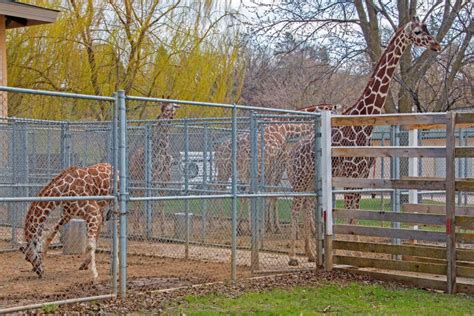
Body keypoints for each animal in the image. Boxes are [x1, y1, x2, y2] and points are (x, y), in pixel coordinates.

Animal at [130, 102, 180, 233]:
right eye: (166, 109)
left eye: (173, 108)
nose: (171, 117)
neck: (162, 150)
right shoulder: (153, 178)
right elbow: (150, 201)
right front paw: (149, 229)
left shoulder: (165, 180)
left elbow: (161, 202)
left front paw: (163, 230)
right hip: (137, 179)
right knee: (137, 198)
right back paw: (136, 229)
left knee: (140, 198)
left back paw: (139, 227)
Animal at [286, 16, 442, 266]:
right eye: (418, 31)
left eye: (427, 29)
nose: (437, 45)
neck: (365, 125)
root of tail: (292, 152)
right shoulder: (350, 175)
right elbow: (349, 216)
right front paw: (350, 255)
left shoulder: (360, 176)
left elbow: (355, 216)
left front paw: (357, 254)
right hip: (299, 179)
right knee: (295, 207)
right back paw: (293, 257)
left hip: (310, 180)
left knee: (308, 206)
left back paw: (310, 254)